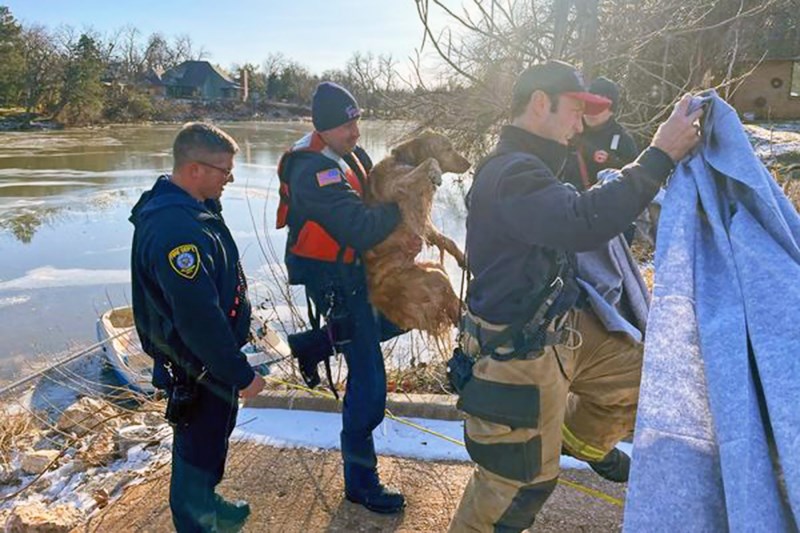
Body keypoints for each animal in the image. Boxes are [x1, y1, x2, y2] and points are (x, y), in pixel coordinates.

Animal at [362, 130, 468, 334]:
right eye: (448, 148)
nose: (469, 163)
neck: (404, 161)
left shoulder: (423, 219)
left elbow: (447, 241)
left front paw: (462, 258)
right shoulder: (402, 187)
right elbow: (430, 160)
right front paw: (435, 173)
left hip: (431, 268)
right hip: (433, 278)